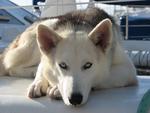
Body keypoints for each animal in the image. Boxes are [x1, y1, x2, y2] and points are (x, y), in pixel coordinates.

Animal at [0, 7, 138, 106]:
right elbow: (42, 68)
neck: (76, 28)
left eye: (88, 65)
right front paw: (39, 83)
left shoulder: (127, 70)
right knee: (11, 66)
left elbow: (103, 77)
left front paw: (57, 89)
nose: (75, 99)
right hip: (39, 38)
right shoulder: (45, 59)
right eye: (63, 65)